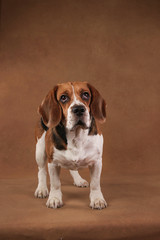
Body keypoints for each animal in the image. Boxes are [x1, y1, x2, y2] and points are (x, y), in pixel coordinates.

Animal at [35, 81, 107, 209]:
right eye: (63, 97)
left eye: (86, 94)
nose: (78, 109)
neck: (76, 136)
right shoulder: (53, 163)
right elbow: (55, 184)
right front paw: (54, 198)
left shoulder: (97, 161)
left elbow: (95, 184)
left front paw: (97, 199)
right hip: (39, 151)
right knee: (41, 171)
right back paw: (41, 189)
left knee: (73, 169)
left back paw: (78, 180)